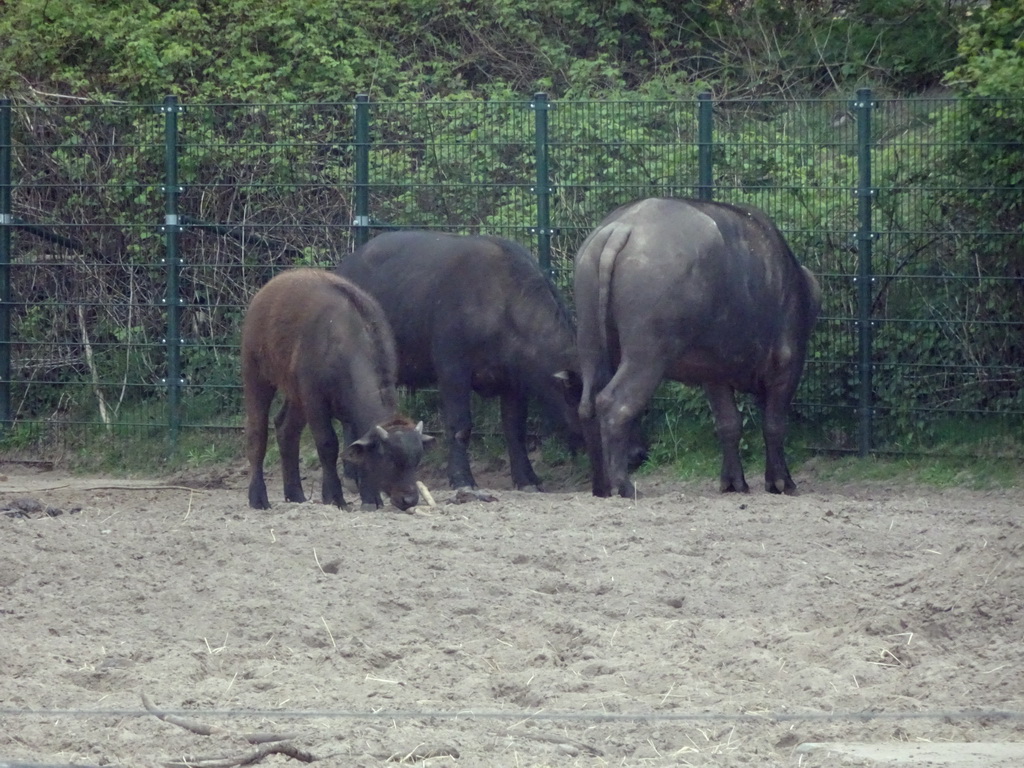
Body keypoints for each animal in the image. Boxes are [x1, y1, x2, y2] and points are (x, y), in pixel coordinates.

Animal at [241, 268, 434, 514]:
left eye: (417, 460)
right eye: (390, 460)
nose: (409, 499)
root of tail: (267, 291)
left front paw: (370, 498)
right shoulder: (315, 400)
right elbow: (328, 444)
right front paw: (333, 496)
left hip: (296, 395)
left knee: (286, 430)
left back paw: (296, 494)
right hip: (256, 374)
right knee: (257, 434)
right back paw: (258, 497)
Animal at [331, 230, 598, 493]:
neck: (501, 305)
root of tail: (346, 267)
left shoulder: (513, 382)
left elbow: (514, 429)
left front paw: (526, 478)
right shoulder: (453, 373)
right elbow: (460, 426)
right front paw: (462, 479)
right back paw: (353, 474)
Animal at [577, 198, 823, 499]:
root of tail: (622, 228)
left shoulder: (714, 376)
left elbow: (729, 424)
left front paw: (734, 482)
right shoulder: (787, 367)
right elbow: (774, 425)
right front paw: (780, 481)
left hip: (590, 346)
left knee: (587, 407)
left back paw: (601, 487)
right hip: (646, 357)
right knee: (615, 405)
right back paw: (624, 485)